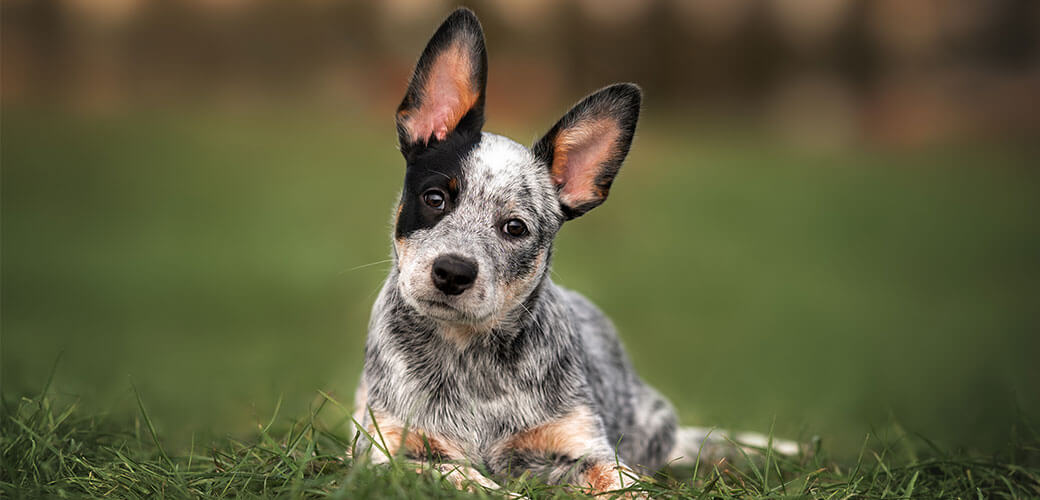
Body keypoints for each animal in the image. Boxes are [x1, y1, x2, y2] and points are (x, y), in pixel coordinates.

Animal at [353, 7, 798, 494]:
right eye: (435, 198)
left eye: (515, 227)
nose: (453, 272)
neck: (469, 359)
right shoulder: (387, 450)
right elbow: (457, 474)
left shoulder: (582, 444)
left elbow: (620, 480)